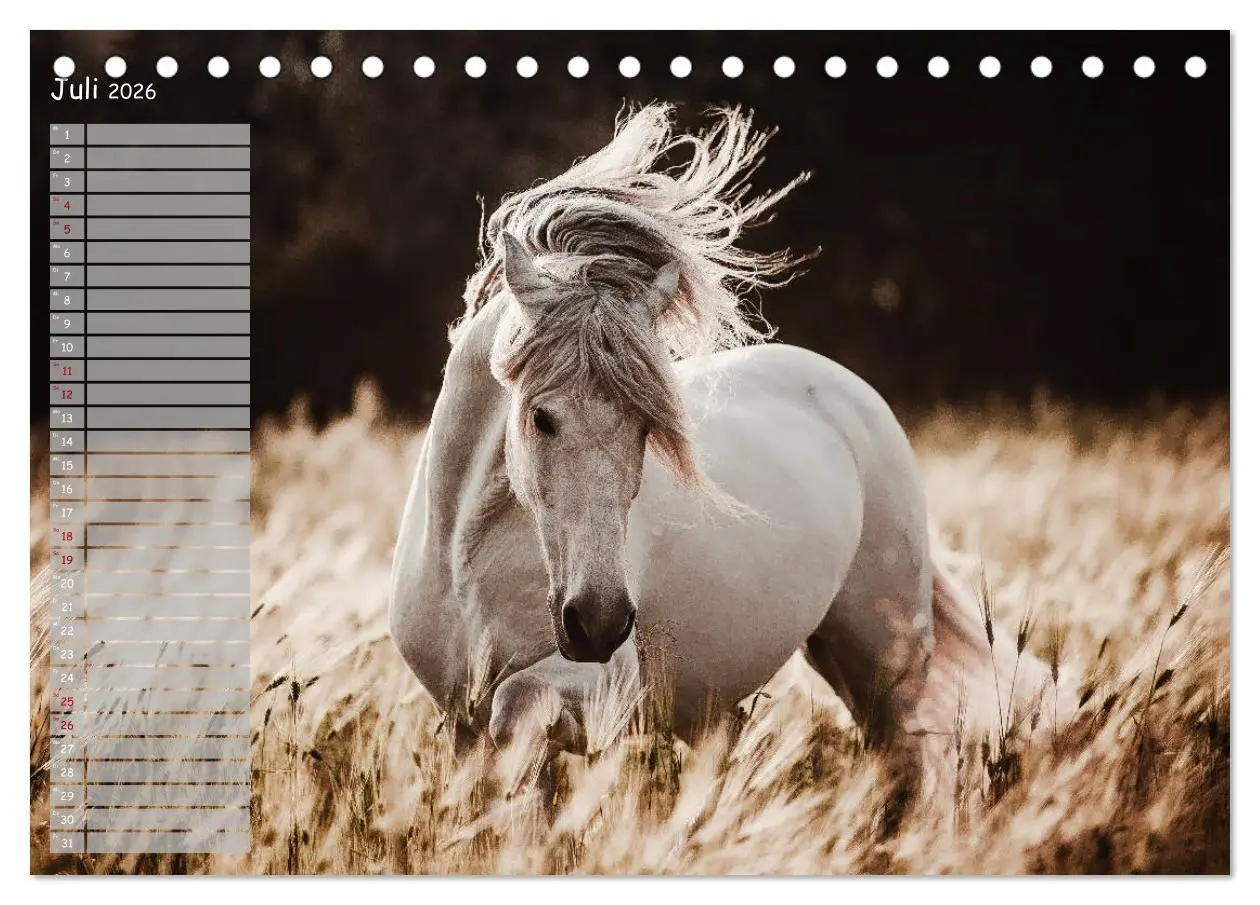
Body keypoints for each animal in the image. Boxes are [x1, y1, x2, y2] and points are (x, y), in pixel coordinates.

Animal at [389, 103, 1054, 790]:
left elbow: (514, 707)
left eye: (645, 429)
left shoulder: (599, 688)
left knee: (916, 749)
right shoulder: (458, 725)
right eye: (542, 418)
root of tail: (847, 393)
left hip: (883, 652)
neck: (466, 554)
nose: (599, 622)